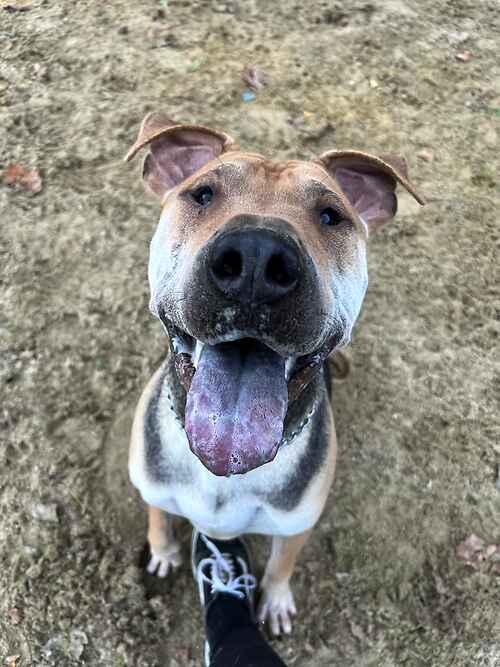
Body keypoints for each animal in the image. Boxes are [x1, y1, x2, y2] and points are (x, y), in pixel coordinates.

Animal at [124, 115, 422, 636]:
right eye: (203, 194)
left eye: (331, 216)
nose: (257, 260)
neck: (225, 471)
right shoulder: (152, 488)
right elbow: (158, 517)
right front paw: (161, 552)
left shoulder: (296, 524)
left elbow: (283, 563)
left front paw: (276, 600)